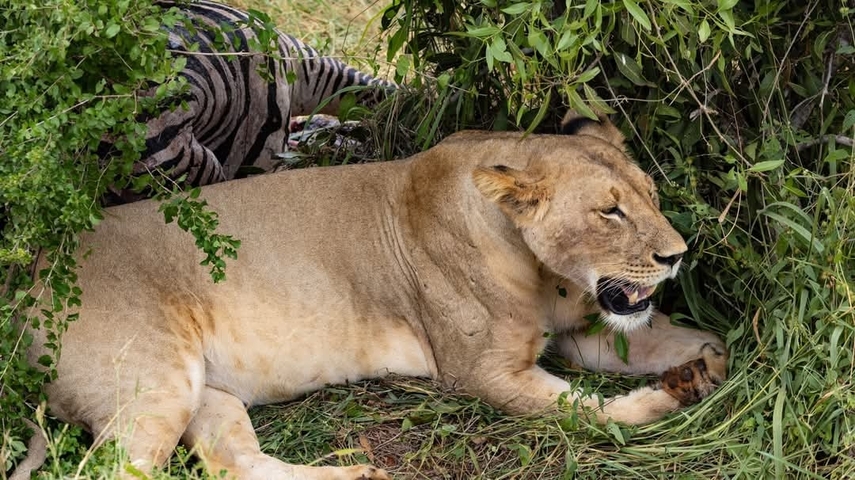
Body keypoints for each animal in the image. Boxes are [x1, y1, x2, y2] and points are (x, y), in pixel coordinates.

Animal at [20, 113, 727, 479]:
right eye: (609, 211)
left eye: (651, 197)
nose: (676, 256)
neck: (545, 274)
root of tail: (29, 274)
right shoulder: (481, 373)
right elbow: (586, 413)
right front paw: (666, 398)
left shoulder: (581, 331)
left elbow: (680, 341)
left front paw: (707, 365)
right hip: (154, 386)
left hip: (203, 393)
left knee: (237, 462)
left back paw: (359, 474)